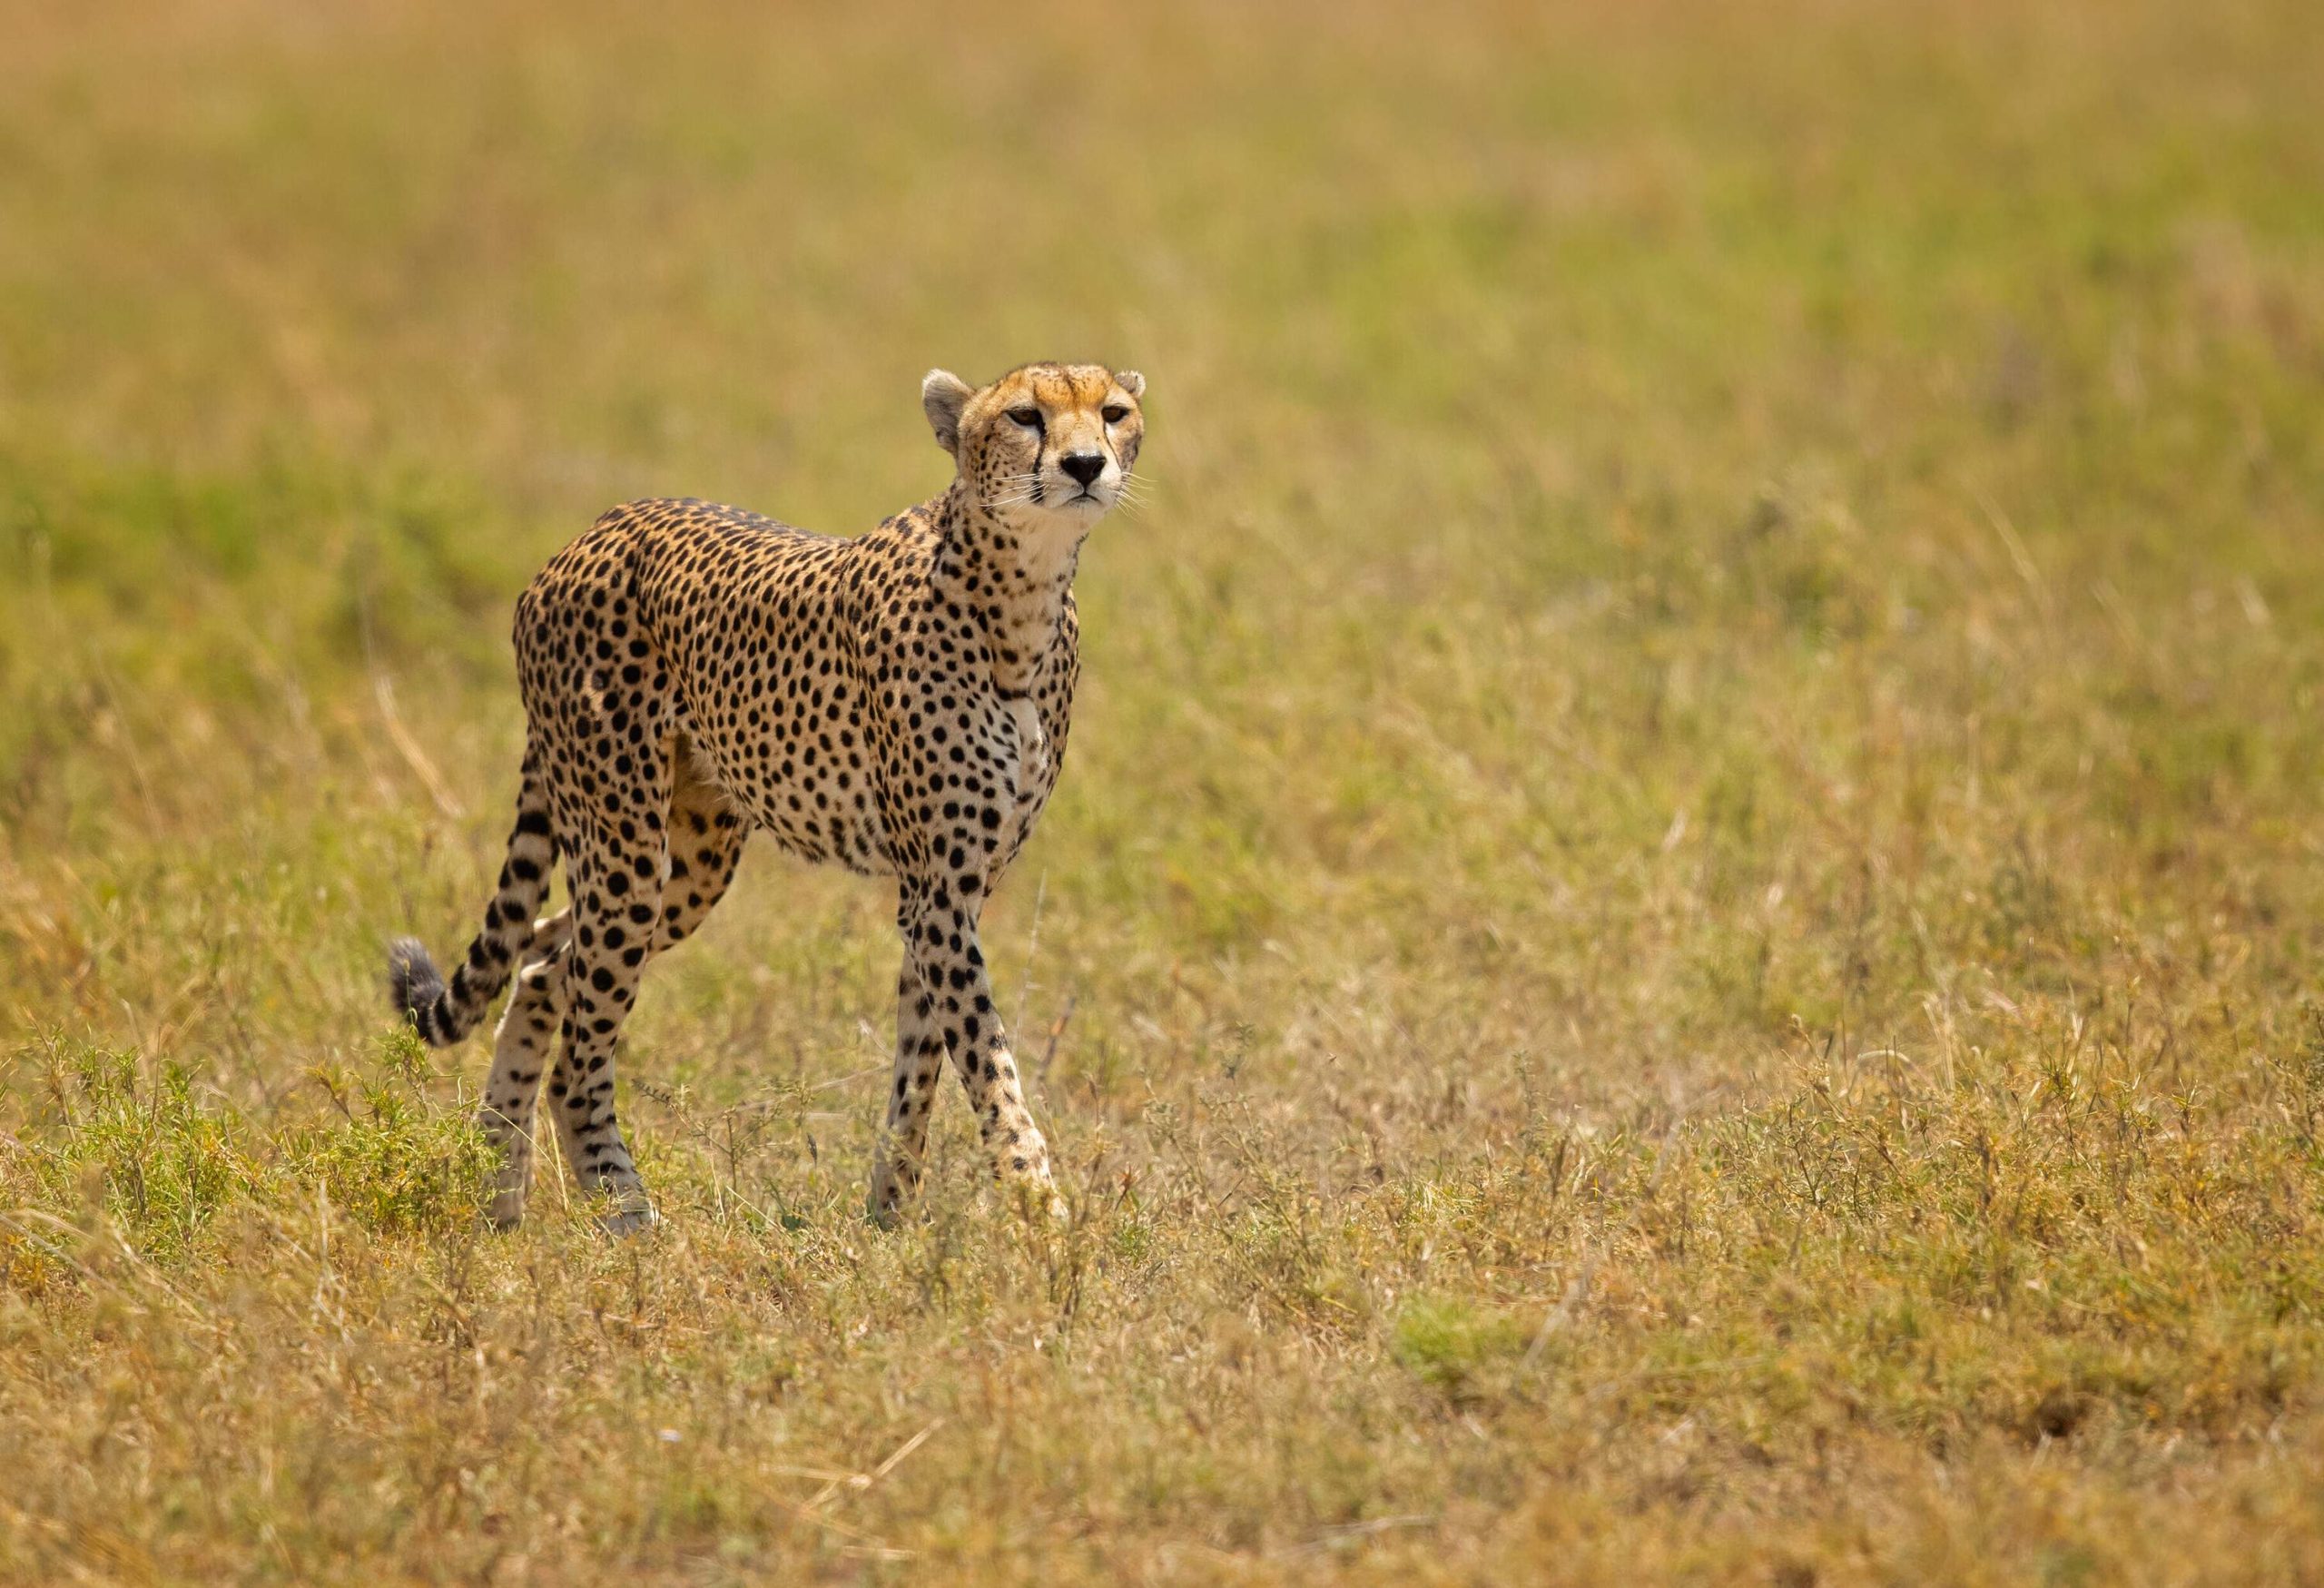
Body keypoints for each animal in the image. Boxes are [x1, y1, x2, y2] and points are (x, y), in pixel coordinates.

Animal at [390, 360, 1143, 1228]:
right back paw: (628, 1217)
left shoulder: (957, 887)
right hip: (624, 846)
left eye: (1113, 412)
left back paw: (500, 1196)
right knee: (577, 1056)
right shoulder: (939, 891)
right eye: (1025, 416)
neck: (1022, 593)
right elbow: (989, 1066)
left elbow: (921, 1063)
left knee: (544, 964)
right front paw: (1041, 1215)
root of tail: (597, 527)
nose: (1085, 465)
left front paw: (889, 1218)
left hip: (691, 861)